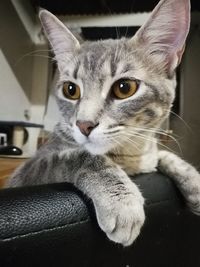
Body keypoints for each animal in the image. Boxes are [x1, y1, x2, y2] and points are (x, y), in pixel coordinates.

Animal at [5, 0, 200, 248]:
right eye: (70, 89)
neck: (130, 157)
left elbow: (161, 154)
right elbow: (80, 156)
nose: (84, 124)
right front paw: (122, 201)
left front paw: (193, 179)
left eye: (124, 88)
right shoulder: (28, 171)